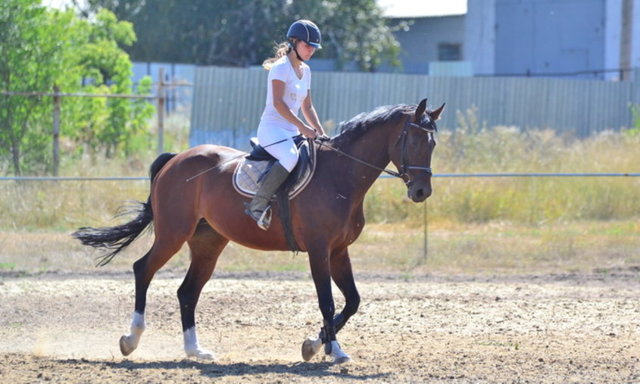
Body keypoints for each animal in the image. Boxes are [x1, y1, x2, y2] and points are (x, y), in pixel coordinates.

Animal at [72, 97, 444, 364]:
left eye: (433, 145)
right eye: (413, 140)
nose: (421, 192)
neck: (341, 176)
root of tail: (177, 158)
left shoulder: (339, 251)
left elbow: (352, 301)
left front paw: (316, 345)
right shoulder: (319, 251)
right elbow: (326, 302)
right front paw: (329, 350)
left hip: (208, 242)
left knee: (187, 292)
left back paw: (195, 351)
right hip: (173, 233)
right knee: (143, 270)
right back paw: (131, 340)